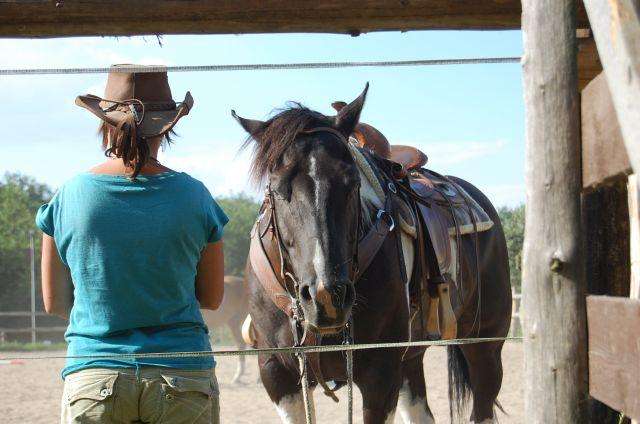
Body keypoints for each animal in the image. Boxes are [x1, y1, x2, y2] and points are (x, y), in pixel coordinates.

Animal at [234, 87, 510, 424]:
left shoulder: (381, 372)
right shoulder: (277, 374)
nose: (327, 296)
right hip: (411, 358)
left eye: (352, 183)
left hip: (485, 345)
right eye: (275, 188)